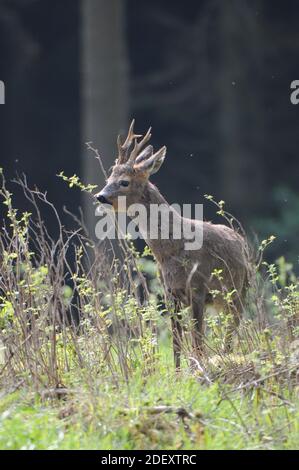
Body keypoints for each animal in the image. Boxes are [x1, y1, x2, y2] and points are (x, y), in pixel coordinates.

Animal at [96, 120, 251, 368]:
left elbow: (197, 342)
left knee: (230, 332)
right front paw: (178, 372)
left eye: (124, 182)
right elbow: (177, 343)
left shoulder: (198, 287)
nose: (100, 196)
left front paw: (199, 368)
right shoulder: (170, 293)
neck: (171, 250)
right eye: (108, 178)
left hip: (238, 292)